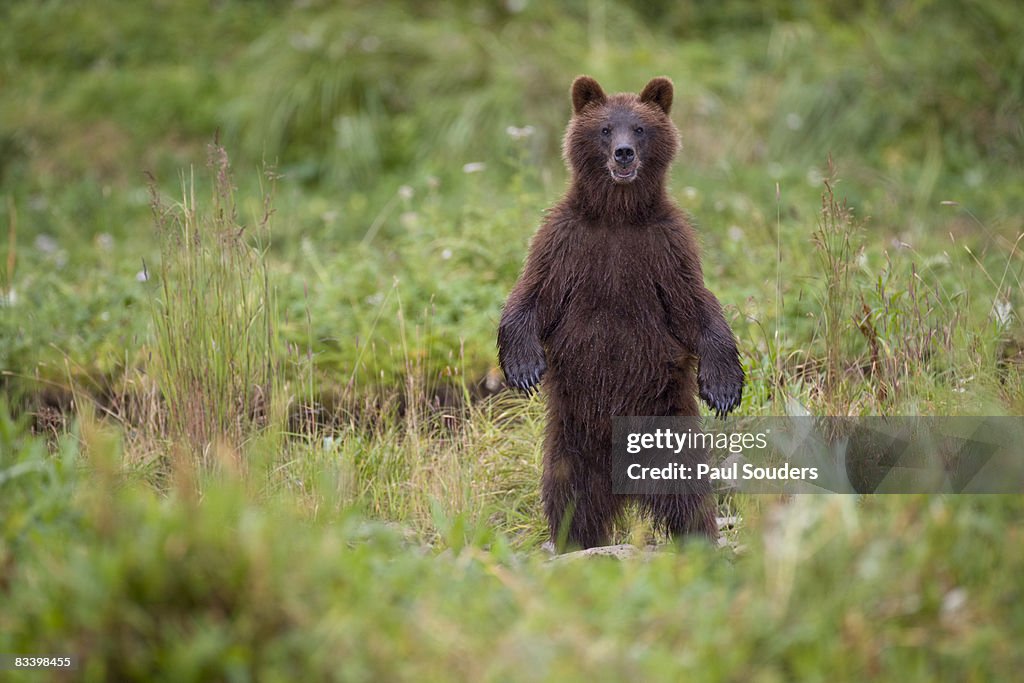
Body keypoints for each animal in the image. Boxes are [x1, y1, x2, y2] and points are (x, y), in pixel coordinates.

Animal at [497, 76, 745, 548]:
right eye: (606, 129)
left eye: (641, 128)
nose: (624, 153)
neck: (617, 215)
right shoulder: (566, 244)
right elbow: (532, 296)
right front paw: (522, 367)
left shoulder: (664, 249)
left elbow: (696, 308)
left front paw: (724, 386)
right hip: (573, 434)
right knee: (571, 494)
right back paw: (574, 542)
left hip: (666, 424)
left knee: (688, 493)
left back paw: (699, 539)